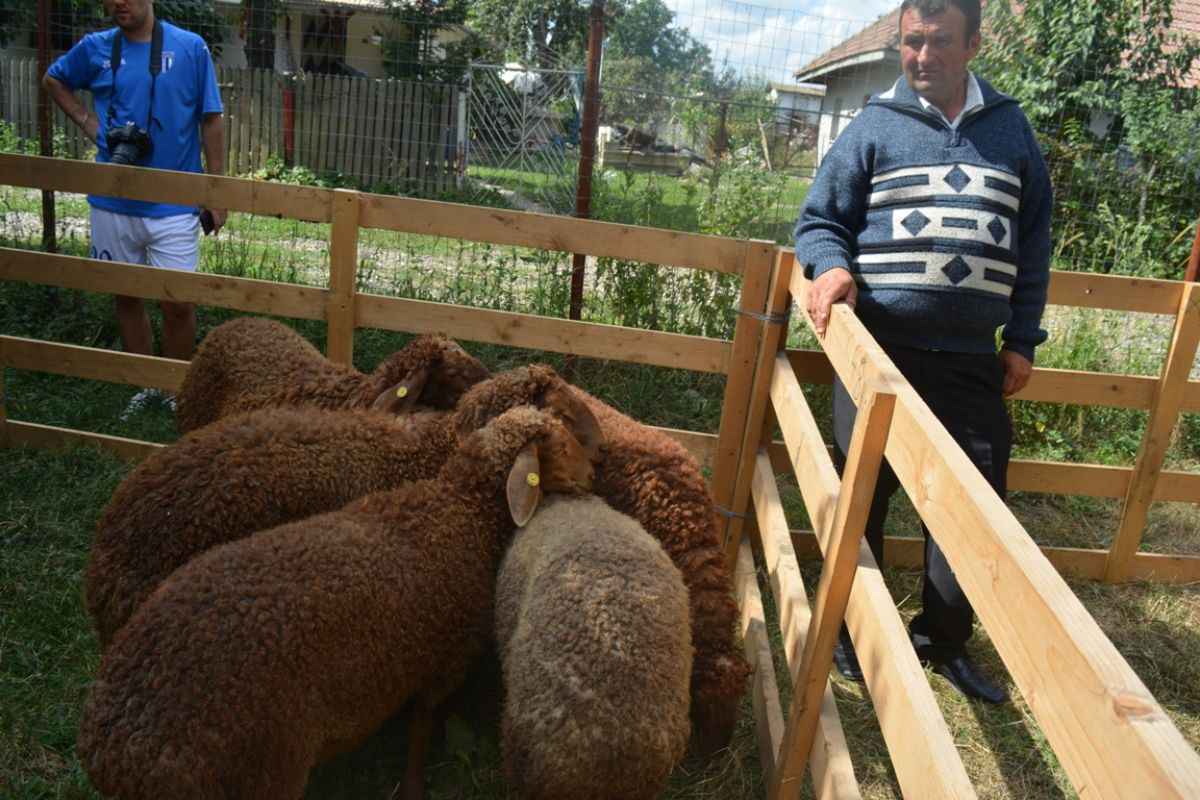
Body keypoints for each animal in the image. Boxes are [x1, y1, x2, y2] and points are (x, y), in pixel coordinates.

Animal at [76, 405, 596, 800]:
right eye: (559, 445)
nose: (592, 476)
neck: (457, 511)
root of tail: (117, 751)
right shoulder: (441, 663)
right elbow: (420, 732)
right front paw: (412, 788)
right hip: (259, 773)